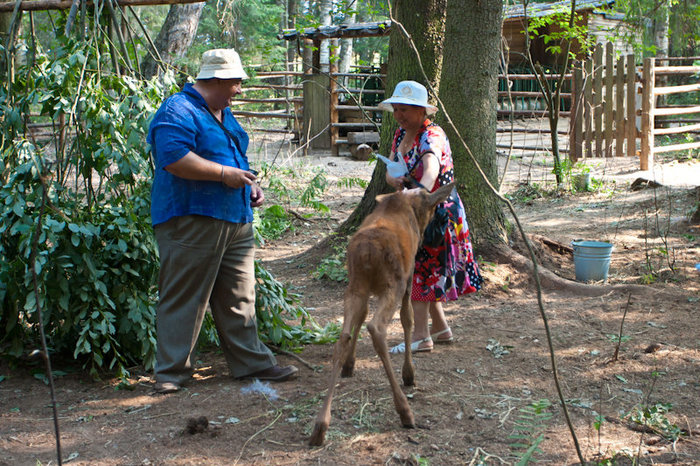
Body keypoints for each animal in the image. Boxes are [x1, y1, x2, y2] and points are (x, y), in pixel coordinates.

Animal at [308, 181, 454, 444]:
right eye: (434, 208)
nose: (435, 237)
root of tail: (367, 251)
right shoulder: (408, 279)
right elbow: (408, 319)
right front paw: (409, 373)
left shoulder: (364, 290)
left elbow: (361, 317)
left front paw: (350, 364)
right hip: (392, 285)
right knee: (377, 328)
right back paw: (405, 411)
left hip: (354, 286)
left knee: (343, 335)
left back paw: (320, 424)